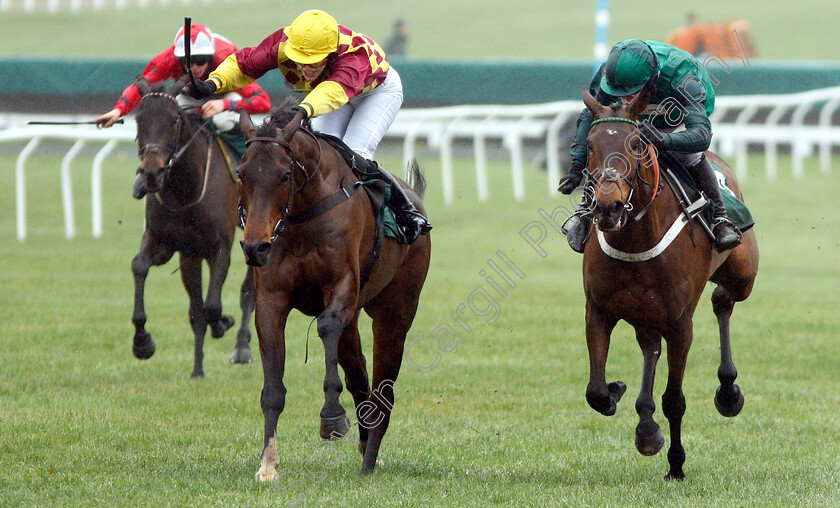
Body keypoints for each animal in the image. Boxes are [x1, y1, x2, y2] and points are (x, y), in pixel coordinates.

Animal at [130, 76, 254, 378]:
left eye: (174, 119)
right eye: (139, 119)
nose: (152, 172)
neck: (185, 190)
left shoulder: (220, 247)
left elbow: (212, 306)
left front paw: (223, 322)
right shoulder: (165, 243)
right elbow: (139, 266)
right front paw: (142, 343)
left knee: (248, 291)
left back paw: (242, 346)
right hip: (190, 255)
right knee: (196, 309)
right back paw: (197, 370)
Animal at [238, 102, 430, 476]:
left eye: (284, 175)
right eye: (241, 173)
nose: (255, 247)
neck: (303, 214)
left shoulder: (341, 288)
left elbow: (327, 326)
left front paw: (332, 417)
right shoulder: (271, 298)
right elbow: (273, 388)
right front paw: (268, 464)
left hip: (396, 310)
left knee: (383, 388)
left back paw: (368, 462)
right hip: (354, 318)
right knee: (359, 375)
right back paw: (366, 442)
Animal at [580, 89, 756, 482]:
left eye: (635, 143)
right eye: (589, 144)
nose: (608, 207)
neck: (635, 240)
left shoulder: (680, 324)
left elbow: (674, 400)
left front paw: (676, 464)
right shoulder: (598, 310)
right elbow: (595, 392)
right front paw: (618, 392)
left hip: (743, 274)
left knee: (723, 300)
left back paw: (728, 391)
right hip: (644, 312)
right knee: (651, 346)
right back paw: (646, 423)